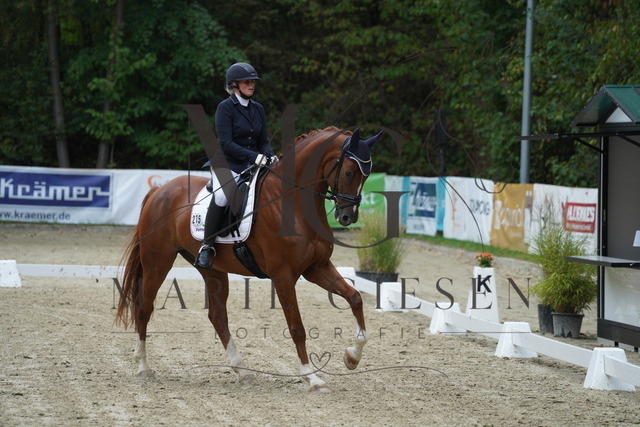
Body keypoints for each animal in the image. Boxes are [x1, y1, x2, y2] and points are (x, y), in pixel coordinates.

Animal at [116, 126, 381, 392]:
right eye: (349, 172)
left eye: (366, 176)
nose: (347, 217)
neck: (292, 202)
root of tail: (160, 190)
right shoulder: (283, 275)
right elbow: (297, 327)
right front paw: (312, 377)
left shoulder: (317, 267)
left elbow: (355, 298)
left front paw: (352, 357)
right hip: (157, 261)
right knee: (144, 307)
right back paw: (143, 366)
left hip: (212, 269)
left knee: (217, 316)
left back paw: (242, 370)